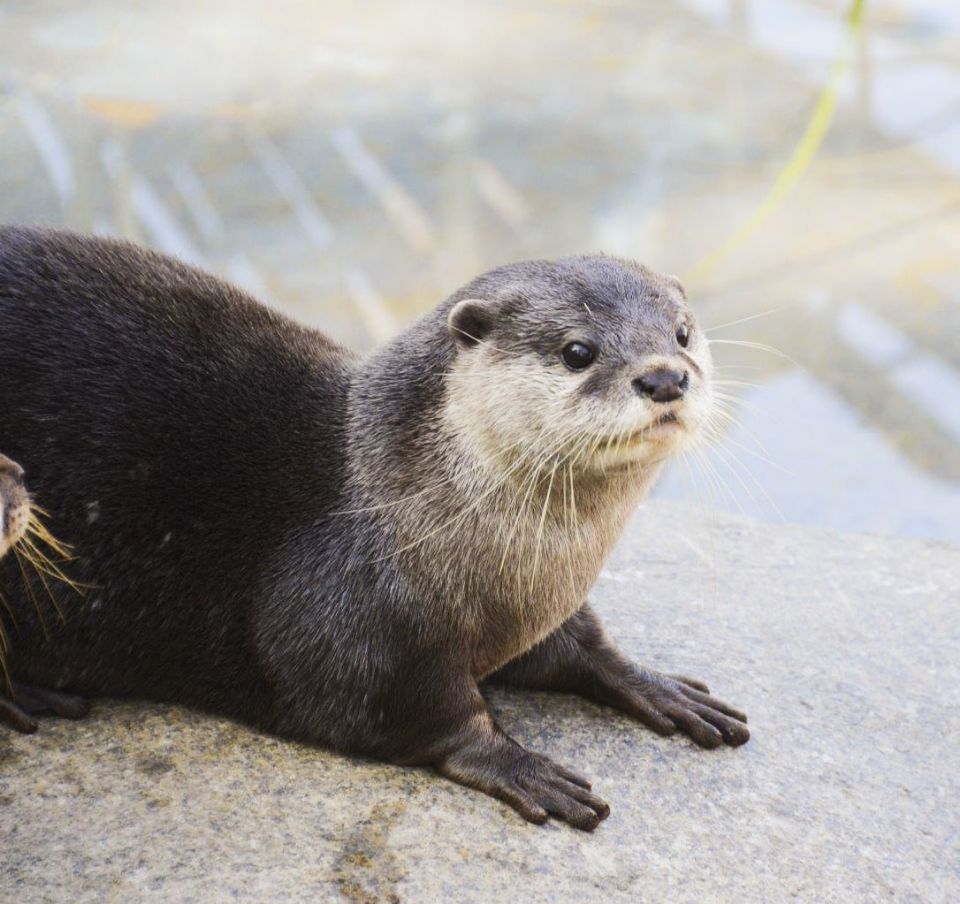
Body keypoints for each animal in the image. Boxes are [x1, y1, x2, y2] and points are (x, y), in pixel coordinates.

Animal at [0, 227, 747, 830]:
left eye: (682, 333)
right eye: (577, 351)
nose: (664, 377)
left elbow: (579, 643)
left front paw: (653, 683)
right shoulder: (342, 618)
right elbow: (406, 705)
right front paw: (516, 761)